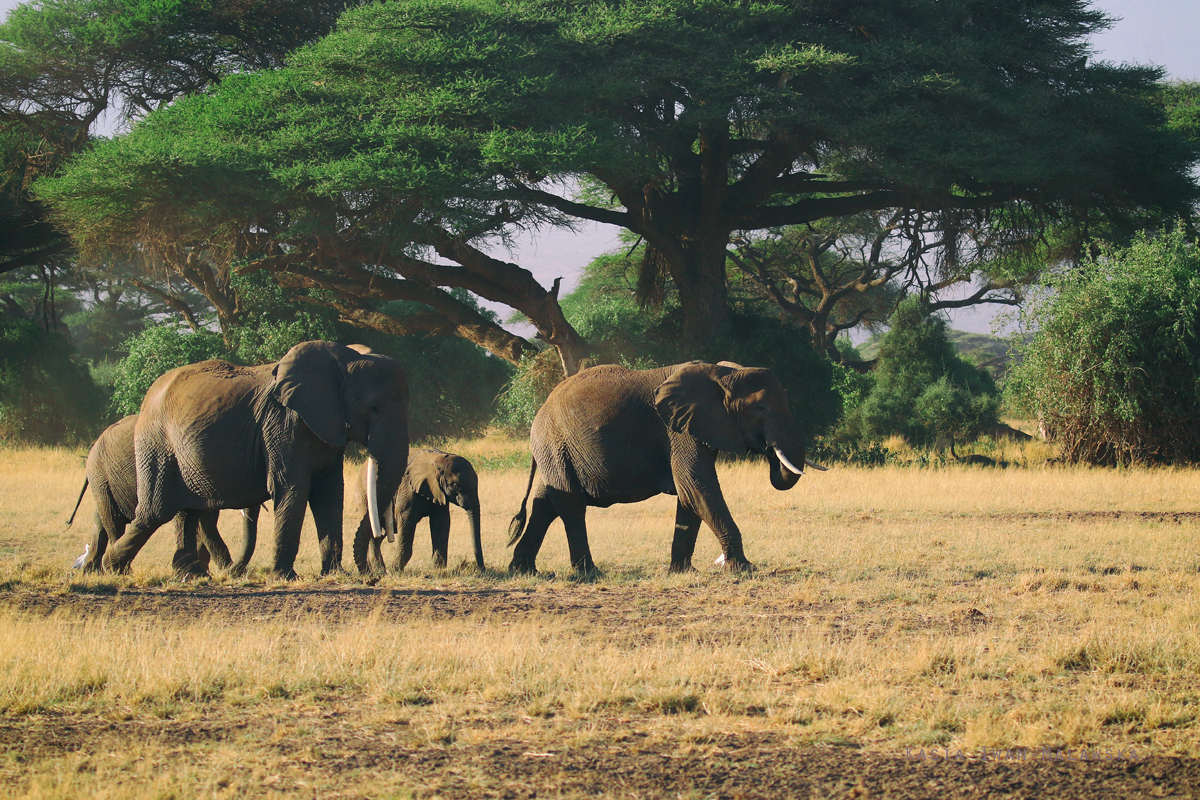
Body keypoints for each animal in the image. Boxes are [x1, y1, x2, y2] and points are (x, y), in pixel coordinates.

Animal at [65, 412, 258, 575]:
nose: (239, 571)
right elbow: (204, 520)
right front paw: (224, 571)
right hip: (100, 474)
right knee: (113, 520)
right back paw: (121, 571)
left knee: (100, 519)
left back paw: (91, 570)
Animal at [99, 340, 408, 578]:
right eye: (374, 408)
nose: (370, 577)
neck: (345, 359)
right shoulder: (283, 423)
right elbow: (293, 490)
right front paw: (285, 577)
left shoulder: (325, 426)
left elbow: (329, 494)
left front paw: (333, 574)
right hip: (156, 442)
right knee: (156, 511)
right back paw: (112, 568)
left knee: (188, 511)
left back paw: (191, 575)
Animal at [352, 450, 484, 575]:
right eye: (456, 486)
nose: (481, 568)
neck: (438, 458)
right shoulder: (407, 488)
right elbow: (406, 521)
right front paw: (395, 571)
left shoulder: (439, 491)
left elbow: (441, 522)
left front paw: (438, 569)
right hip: (364, 494)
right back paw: (379, 571)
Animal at [506, 362, 825, 575]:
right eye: (761, 409)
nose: (769, 449)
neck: (722, 373)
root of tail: (541, 409)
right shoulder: (679, 431)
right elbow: (697, 486)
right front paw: (742, 568)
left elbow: (690, 495)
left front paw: (683, 573)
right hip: (555, 442)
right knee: (570, 504)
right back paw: (588, 573)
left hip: (557, 449)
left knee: (546, 504)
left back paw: (524, 571)